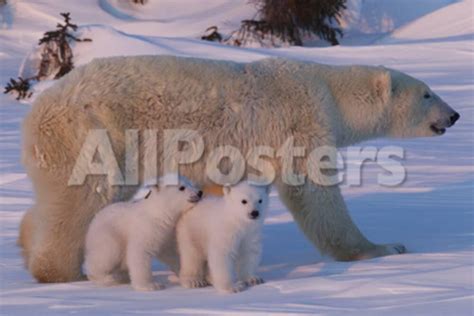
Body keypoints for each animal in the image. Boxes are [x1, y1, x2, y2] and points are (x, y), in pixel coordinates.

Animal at [18, 55, 460, 282]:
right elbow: (314, 191)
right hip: (96, 133)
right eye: (427, 92)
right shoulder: (300, 122)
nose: (454, 115)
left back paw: (25, 242)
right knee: (83, 198)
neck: (329, 92)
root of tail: (39, 109)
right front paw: (384, 247)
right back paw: (61, 271)